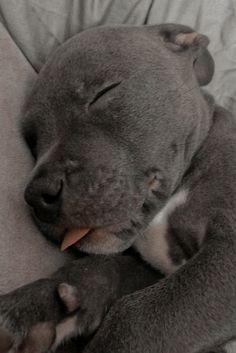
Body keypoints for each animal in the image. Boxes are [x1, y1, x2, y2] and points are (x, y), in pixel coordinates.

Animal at [0, 24, 236, 352]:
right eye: (33, 141)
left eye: (104, 93)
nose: (37, 194)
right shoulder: (153, 269)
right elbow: (108, 267)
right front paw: (41, 305)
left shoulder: (228, 248)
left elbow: (135, 316)